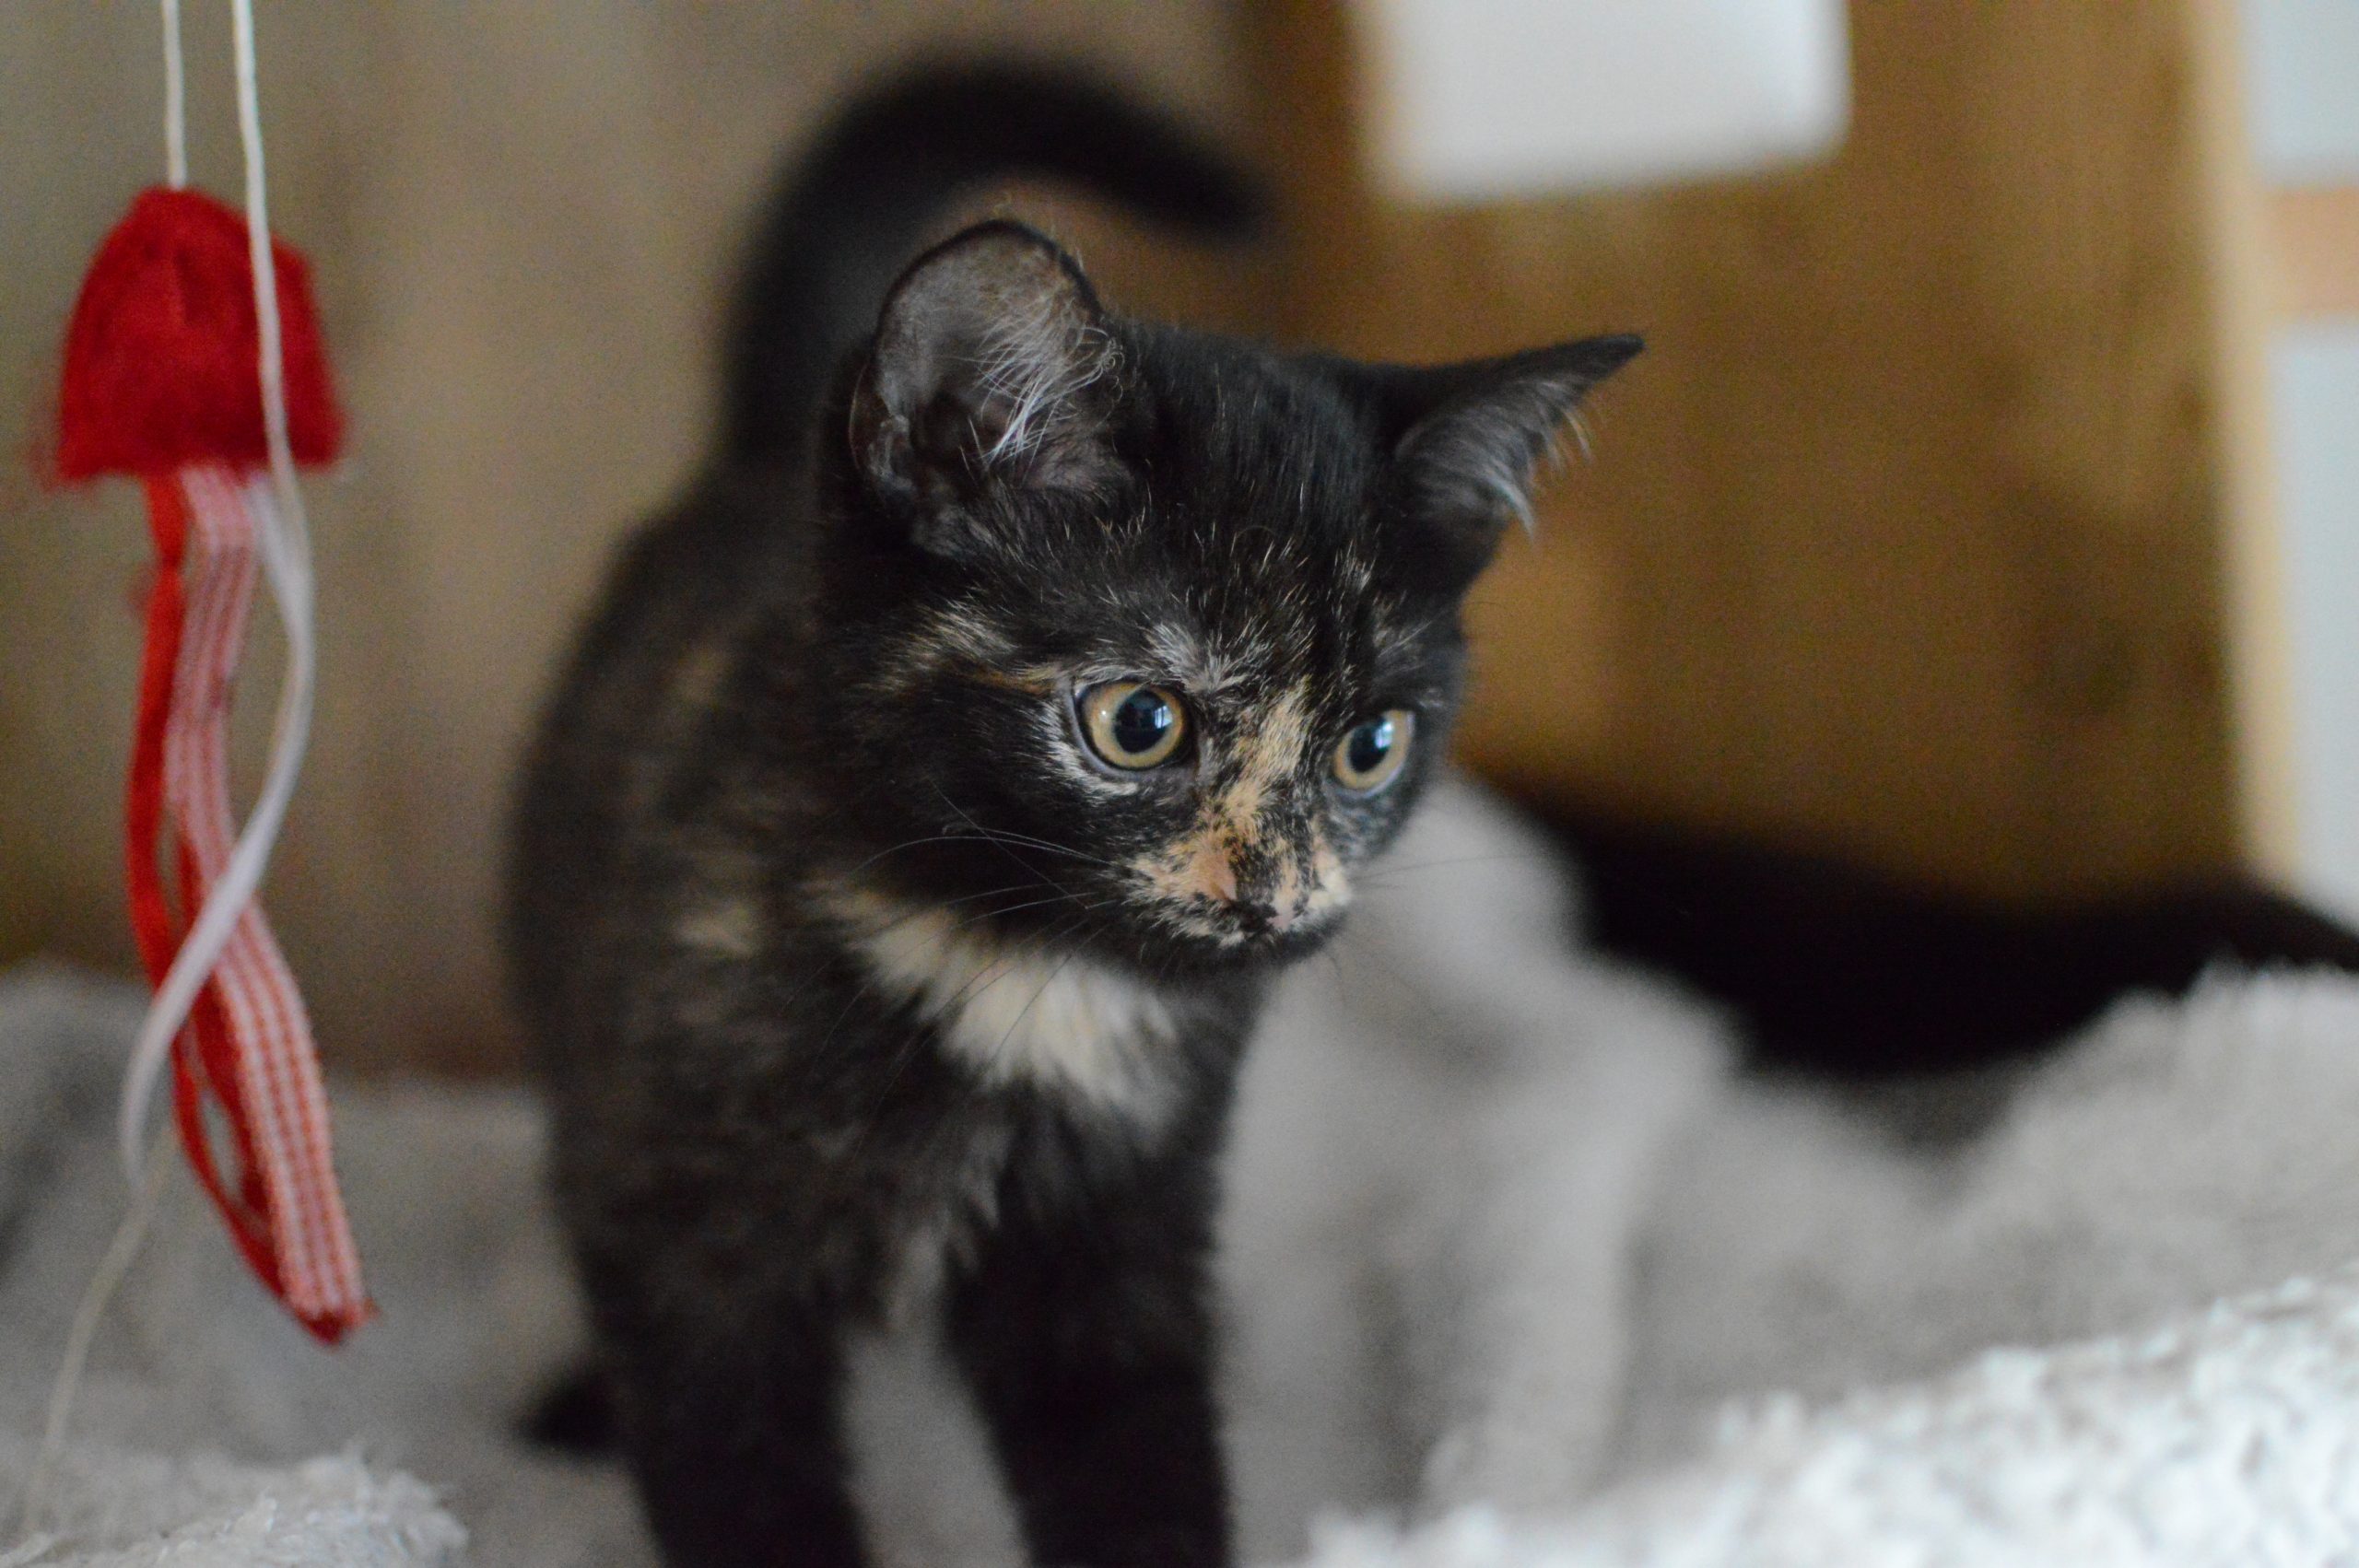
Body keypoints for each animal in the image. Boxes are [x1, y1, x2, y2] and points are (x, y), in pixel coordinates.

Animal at [503, 61, 1639, 1568]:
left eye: (1369, 747)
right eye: (1138, 722)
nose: (1269, 898)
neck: (1012, 968)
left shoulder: (1124, 1238)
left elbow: (1137, 1463)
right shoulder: (697, 1248)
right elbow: (734, 1463)